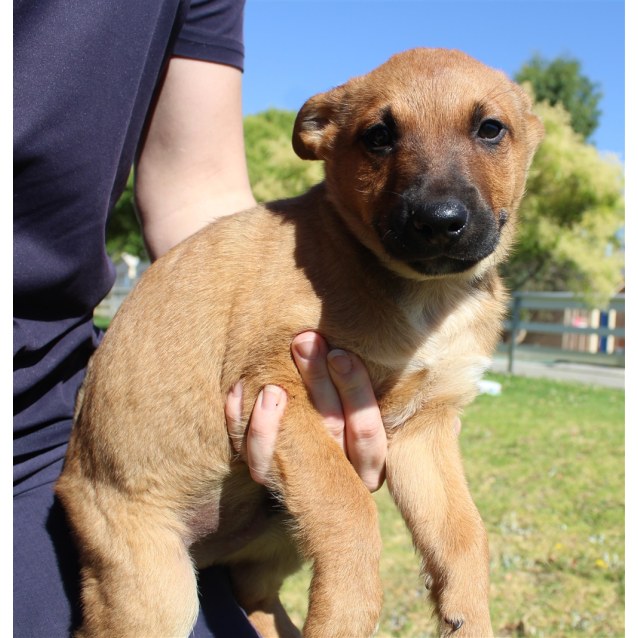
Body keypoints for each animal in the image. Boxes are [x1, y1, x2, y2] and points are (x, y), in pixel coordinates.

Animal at [56, 47, 544, 636]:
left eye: (490, 129)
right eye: (379, 136)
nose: (438, 220)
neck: (424, 297)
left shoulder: (423, 430)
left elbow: (464, 534)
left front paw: (468, 616)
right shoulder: (281, 391)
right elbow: (351, 510)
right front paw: (347, 616)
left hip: (277, 535)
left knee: (257, 596)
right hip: (153, 589)